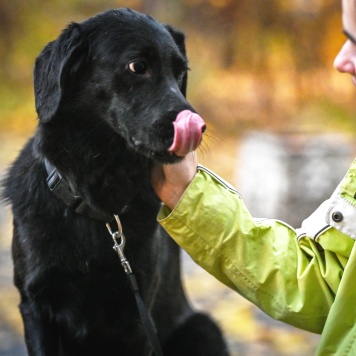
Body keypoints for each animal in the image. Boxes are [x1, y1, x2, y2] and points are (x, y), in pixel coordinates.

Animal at [2, 7, 228, 356]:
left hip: (205, 329)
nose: (200, 128)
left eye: (180, 73)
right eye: (137, 67)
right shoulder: (35, 307)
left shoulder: (137, 316)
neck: (96, 198)